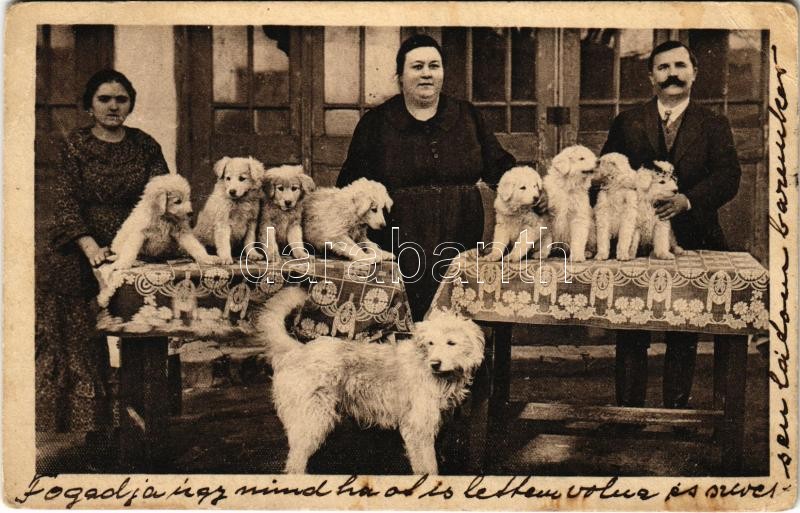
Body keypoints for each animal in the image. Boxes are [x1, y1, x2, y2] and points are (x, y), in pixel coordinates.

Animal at [96, 174, 217, 306]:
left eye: (187, 198)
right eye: (177, 201)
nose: (191, 213)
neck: (163, 217)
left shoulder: (181, 231)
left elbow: (194, 245)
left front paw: (206, 257)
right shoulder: (139, 233)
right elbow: (130, 250)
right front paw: (123, 263)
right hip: (119, 241)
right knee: (121, 252)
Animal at [257, 286, 485, 474]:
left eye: (451, 343)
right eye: (430, 343)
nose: (435, 363)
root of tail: (298, 350)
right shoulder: (418, 429)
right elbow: (428, 467)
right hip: (313, 418)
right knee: (295, 461)